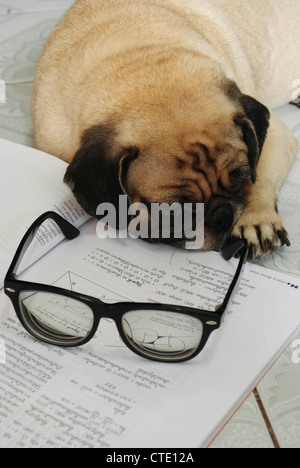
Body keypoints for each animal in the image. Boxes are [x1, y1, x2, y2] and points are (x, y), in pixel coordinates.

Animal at [31, 0, 300, 258]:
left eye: (241, 180)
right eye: (171, 211)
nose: (221, 215)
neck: (141, 64)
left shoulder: (276, 134)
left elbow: (260, 178)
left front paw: (255, 219)